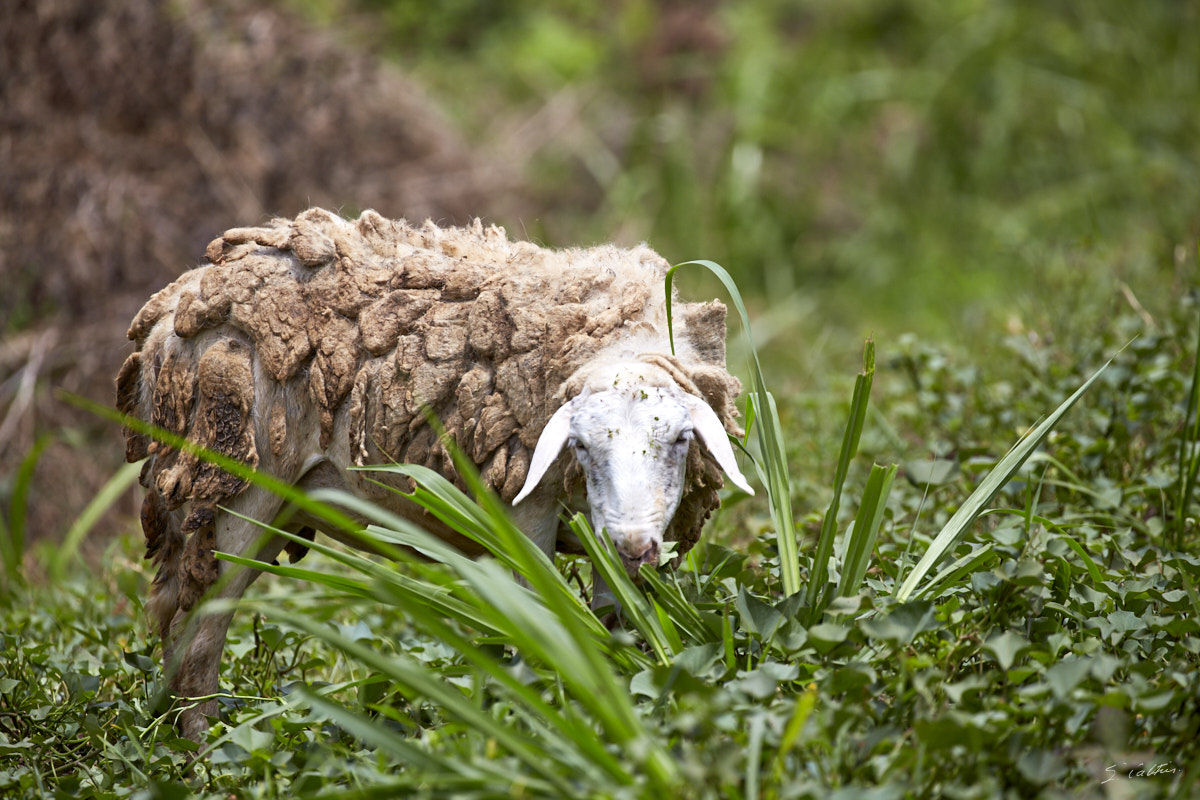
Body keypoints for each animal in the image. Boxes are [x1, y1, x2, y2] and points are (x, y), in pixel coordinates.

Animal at [114, 206, 748, 738]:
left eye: (681, 439)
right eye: (582, 447)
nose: (634, 544)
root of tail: (173, 307)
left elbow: (615, 623)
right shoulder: (527, 513)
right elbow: (549, 625)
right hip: (224, 494)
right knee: (196, 634)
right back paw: (204, 752)